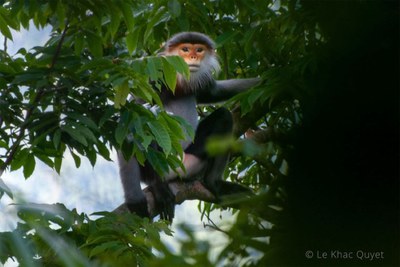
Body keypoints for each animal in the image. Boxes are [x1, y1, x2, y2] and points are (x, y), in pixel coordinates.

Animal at [117, 31, 260, 221]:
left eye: (199, 50)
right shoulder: (153, 77)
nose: (192, 57)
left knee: (224, 116)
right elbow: (132, 121)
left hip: (193, 157)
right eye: (185, 49)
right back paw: (157, 185)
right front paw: (136, 200)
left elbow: (215, 92)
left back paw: (213, 183)